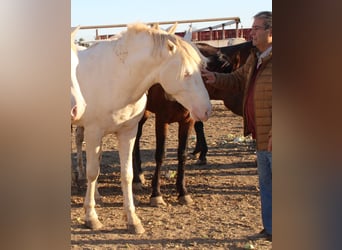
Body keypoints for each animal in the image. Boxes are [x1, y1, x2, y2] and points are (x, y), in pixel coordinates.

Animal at [73, 22, 210, 233]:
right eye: (186, 73)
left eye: (203, 69)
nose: (206, 110)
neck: (117, 77)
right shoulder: (94, 131)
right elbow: (93, 172)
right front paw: (91, 217)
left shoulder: (127, 132)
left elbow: (127, 175)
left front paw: (132, 219)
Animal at [132, 40, 255, 206]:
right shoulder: (162, 120)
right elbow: (160, 155)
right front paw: (156, 194)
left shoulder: (187, 121)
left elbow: (182, 154)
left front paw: (182, 191)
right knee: (135, 139)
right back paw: (137, 178)